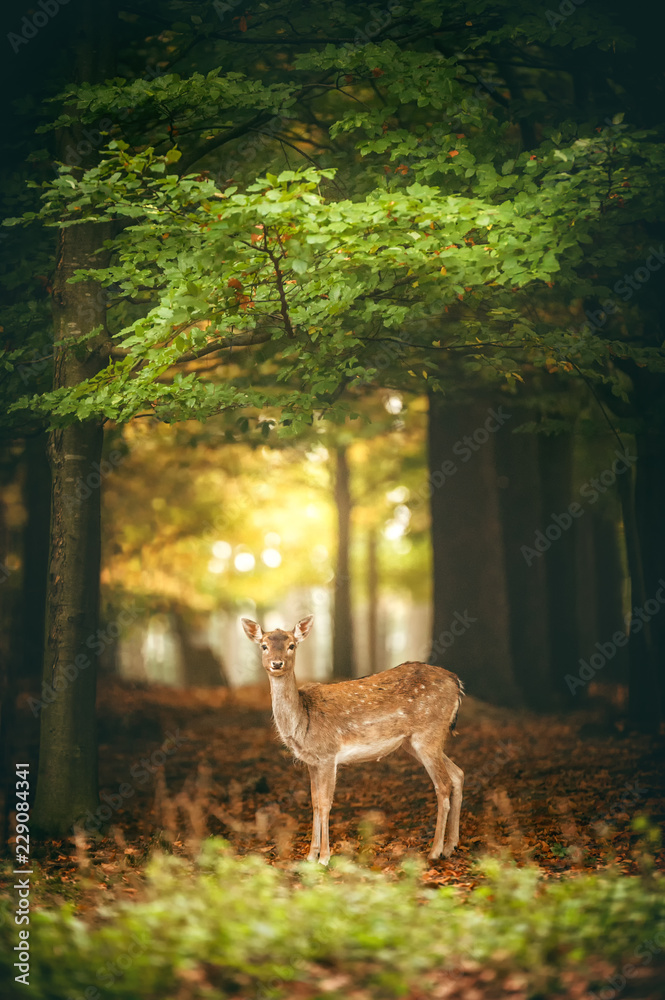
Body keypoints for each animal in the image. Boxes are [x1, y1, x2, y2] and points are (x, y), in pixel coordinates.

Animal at [241, 614, 464, 865]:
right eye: (264, 645)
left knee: (443, 784)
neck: (302, 720)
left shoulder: (328, 754)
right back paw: (451, 846)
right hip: (414, 742)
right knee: (458, 774)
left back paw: (435, 851)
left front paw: (324, 858)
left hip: (428, 733)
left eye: (292, 645)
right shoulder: (311, 761)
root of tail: (456, 682)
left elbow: (325, 803)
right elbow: (314, 802)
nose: (277, 663)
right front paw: (310, 856)